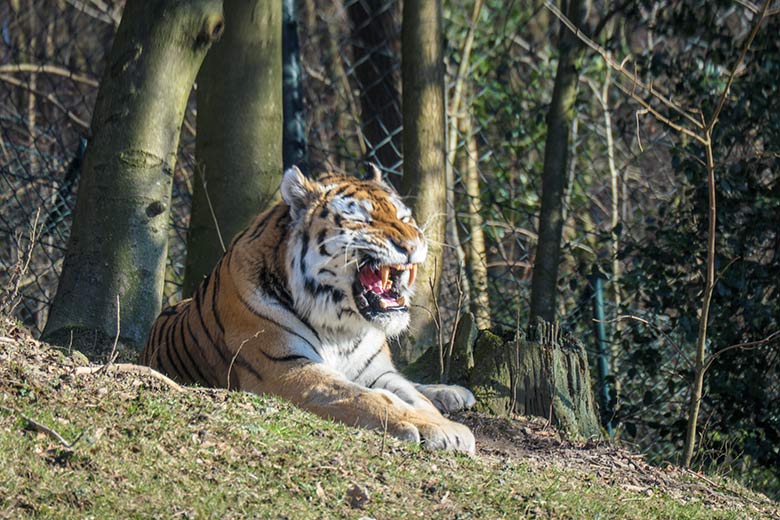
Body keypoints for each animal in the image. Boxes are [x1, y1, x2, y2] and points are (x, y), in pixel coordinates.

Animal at [143, 165, 478, 452]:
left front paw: (443, 421)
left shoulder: (377, 371)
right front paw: (441, 429)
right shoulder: (286, 367)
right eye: (362, 220)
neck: (341, 325)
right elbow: (368, 397)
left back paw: (454, 392)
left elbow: (415, 396)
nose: (411, 245)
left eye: (405, 219)